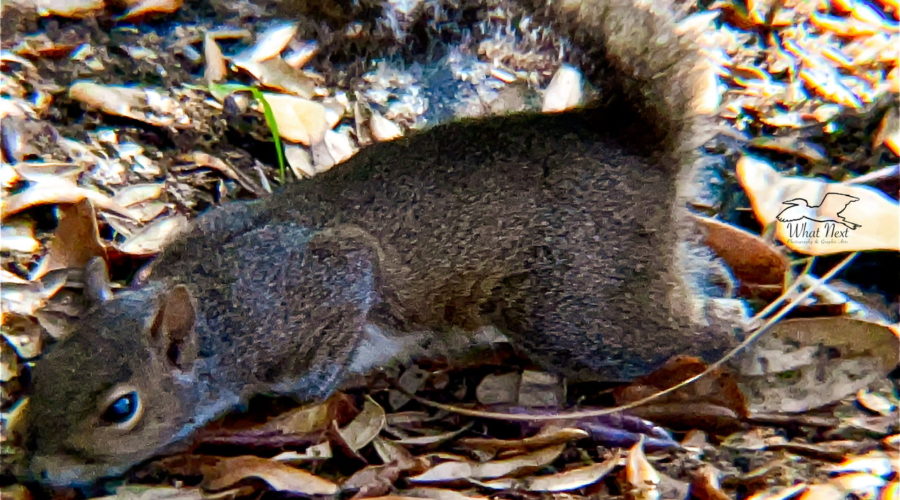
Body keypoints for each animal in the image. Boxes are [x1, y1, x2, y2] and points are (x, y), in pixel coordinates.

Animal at [18, 0, 748, 486]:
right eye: (42, 370)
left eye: (121, 409)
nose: (36, 472)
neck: (216, 304)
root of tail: (638, 148)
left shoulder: (321, 288)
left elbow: (323, 355)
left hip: (576, 310)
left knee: (703, 329)